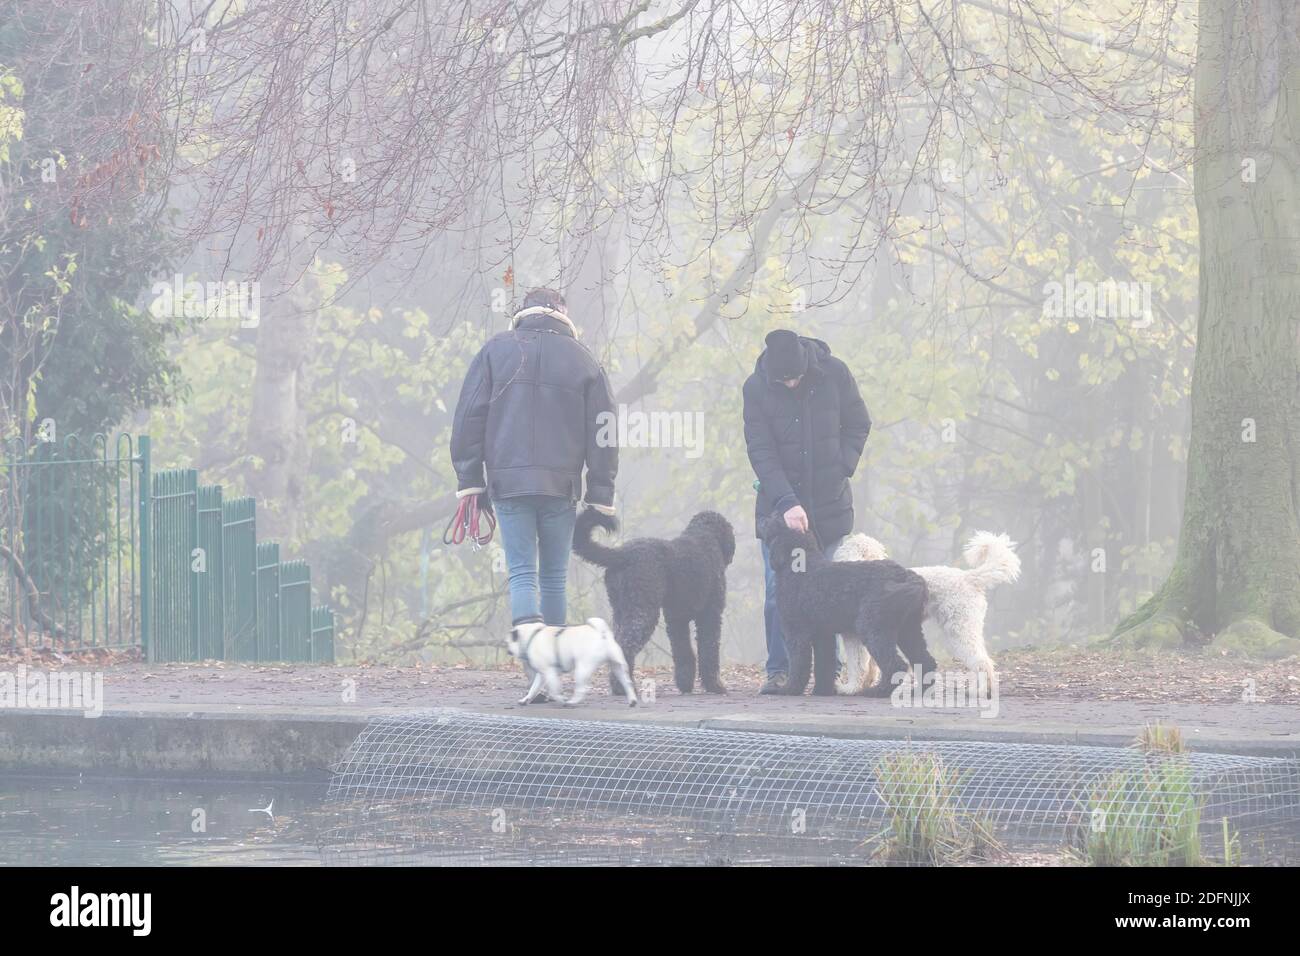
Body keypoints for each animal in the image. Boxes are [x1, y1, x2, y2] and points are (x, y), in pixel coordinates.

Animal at [504, 616, 637, 707]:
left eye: (508, 643)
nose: (506, 650)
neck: (532, 636)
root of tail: (601, 634)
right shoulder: (542, 675)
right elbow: (534, 689)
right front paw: (525, 699)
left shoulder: (549, 672)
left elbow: (554, 690)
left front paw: (561, 699)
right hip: (617, 666)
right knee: (626, 682)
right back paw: (632, 700)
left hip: (582, 668)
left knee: (581, 688)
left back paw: (572, 702)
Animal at [759, 515, 935, 697]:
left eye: (774, 518)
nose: (762, 521)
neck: (801, 566)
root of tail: (908, 577)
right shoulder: (823, 634)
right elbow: (824, 664)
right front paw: (822, 690)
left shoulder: (796, 632)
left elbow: (799, 663)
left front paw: (790, 689)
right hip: (908, 630)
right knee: (926, 661)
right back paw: (918, 691)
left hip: (873, 628)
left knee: (895, 665)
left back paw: (877, 691)